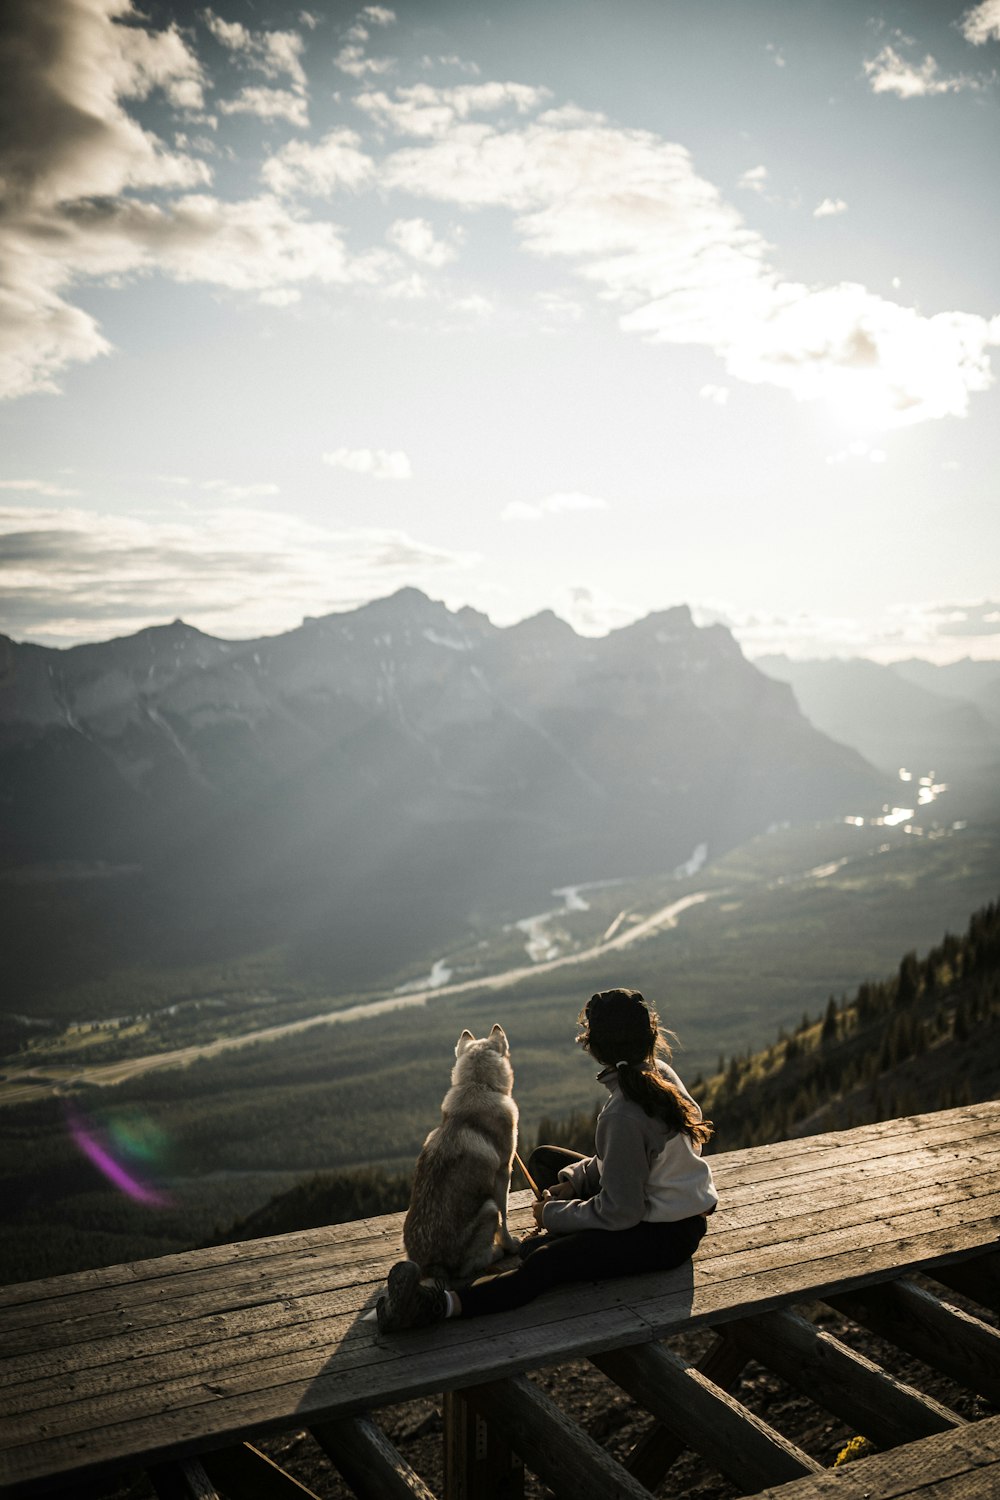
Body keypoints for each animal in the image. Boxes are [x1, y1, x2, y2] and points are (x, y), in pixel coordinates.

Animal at [401, 1026, 521, 1284]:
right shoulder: (503, 1173)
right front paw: (510, 1245)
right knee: (471, 1265)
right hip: (488, 1208)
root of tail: (431, 1267)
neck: (477, 1085)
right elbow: (505, 1220)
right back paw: (496, 1252)